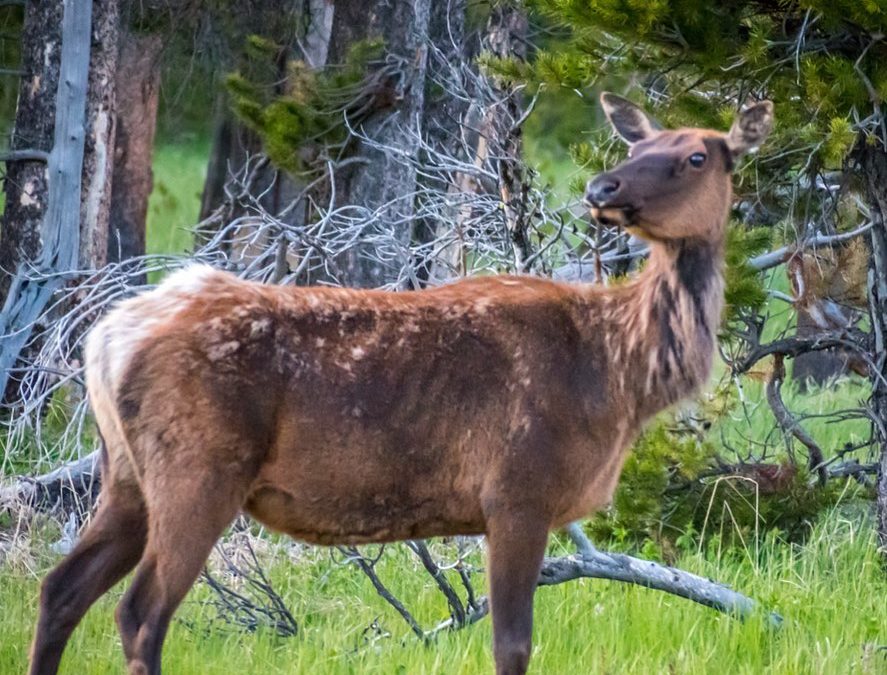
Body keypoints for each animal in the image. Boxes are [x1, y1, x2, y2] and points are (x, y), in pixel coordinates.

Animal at [29, 93, 773, 675]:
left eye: (697, 155)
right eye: (639, 141)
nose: (602, 190)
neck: (617, 377)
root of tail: (104, 337)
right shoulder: (518, 490)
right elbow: (512, 646)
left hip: (126, 473)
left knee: (60, 589)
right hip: (199, 468)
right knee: (140, 613)